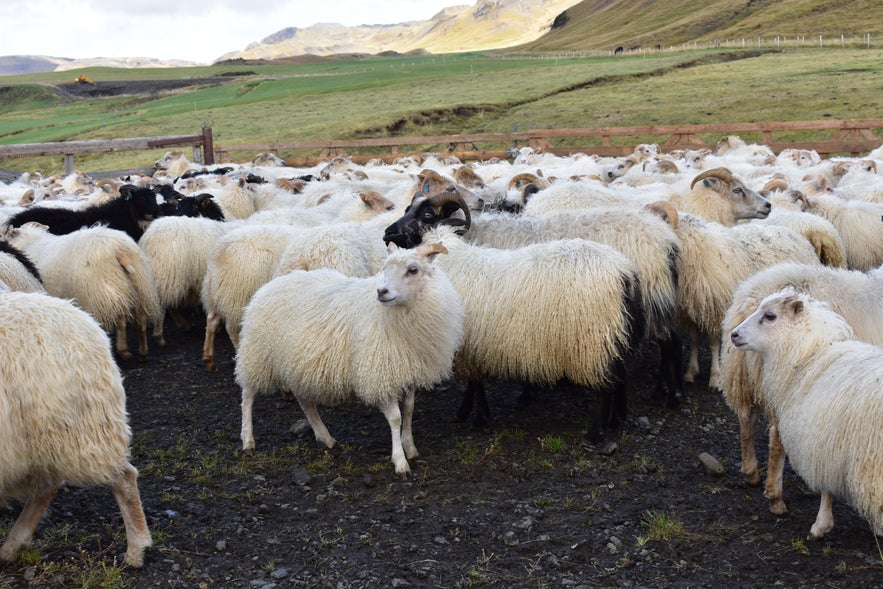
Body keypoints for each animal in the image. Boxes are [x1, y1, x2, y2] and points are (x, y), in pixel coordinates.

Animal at [0, 290, 152, 564]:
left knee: (123, 478)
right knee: (47, 484)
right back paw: (13, 545)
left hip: (81, 428)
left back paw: (136, 550)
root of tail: (84, 319)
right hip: (49, 435)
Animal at [5, 220, 163, 360]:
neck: (28, 241)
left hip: (101, 293)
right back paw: (143, 352)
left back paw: (123, 350)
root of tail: (118, 249)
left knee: (120, 320)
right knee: (141, 320)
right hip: (142, 285)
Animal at [235, 241, 470, 476]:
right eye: (384, 268)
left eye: (413, 270)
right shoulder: (379, 372)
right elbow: (395, 417)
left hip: (298, 362)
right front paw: (400, 461)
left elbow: (409, 409)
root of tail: (271, 284)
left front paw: (410, 447)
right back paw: (248, 439)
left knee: (305, 401)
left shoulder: (409, 368)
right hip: (257, 354)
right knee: (248, 395)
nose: (381, 291)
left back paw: (325, 437)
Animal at [384, 191, 644, 444]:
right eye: (407, 208)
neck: (450, 259)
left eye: (427, 214)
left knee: (605, 387)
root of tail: (626, 274)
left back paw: (595, 434)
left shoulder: (468, 343)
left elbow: (475, 382)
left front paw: (478, 416)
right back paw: (617, 419)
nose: (388, 234)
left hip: (594, 340)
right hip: (617, 333)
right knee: (621, 375)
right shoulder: (472, 344)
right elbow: (473, 383)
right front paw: (468, 412)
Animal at [720, 262, 883, 516]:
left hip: (744, 377)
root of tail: (749, 297)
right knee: (777, 436)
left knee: (746, 420)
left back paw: (751, 473)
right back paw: (775, 497)